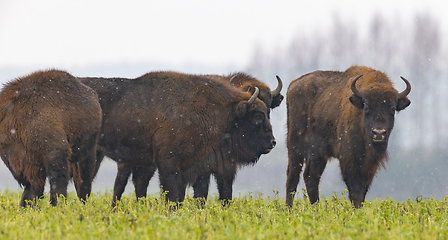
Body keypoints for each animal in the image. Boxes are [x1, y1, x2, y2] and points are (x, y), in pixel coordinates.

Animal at [0, 69, 102, 206]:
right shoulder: (24, 163)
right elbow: (31, 190)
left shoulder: (55, 153)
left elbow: (57, 185)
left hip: (86, 152)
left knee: (83, 181)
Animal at [79, 71, 276, 204]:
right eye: (257, 117)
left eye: (268, 112)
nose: (272, 142)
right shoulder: (169, 163)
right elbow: (172, 195)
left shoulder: (200, 166)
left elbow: (198, 195)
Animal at [288, 66, 410, 208]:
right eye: (366, 107)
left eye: (392, 109)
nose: (379, 133)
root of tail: (293, 84)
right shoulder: (349, 158)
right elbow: (355, 188)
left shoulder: (370, 165)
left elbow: (363, 189)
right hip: (294, 145)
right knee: (292, 175)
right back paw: (288, 209)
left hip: (318, 154)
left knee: (311, 177)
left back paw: (316, 208)